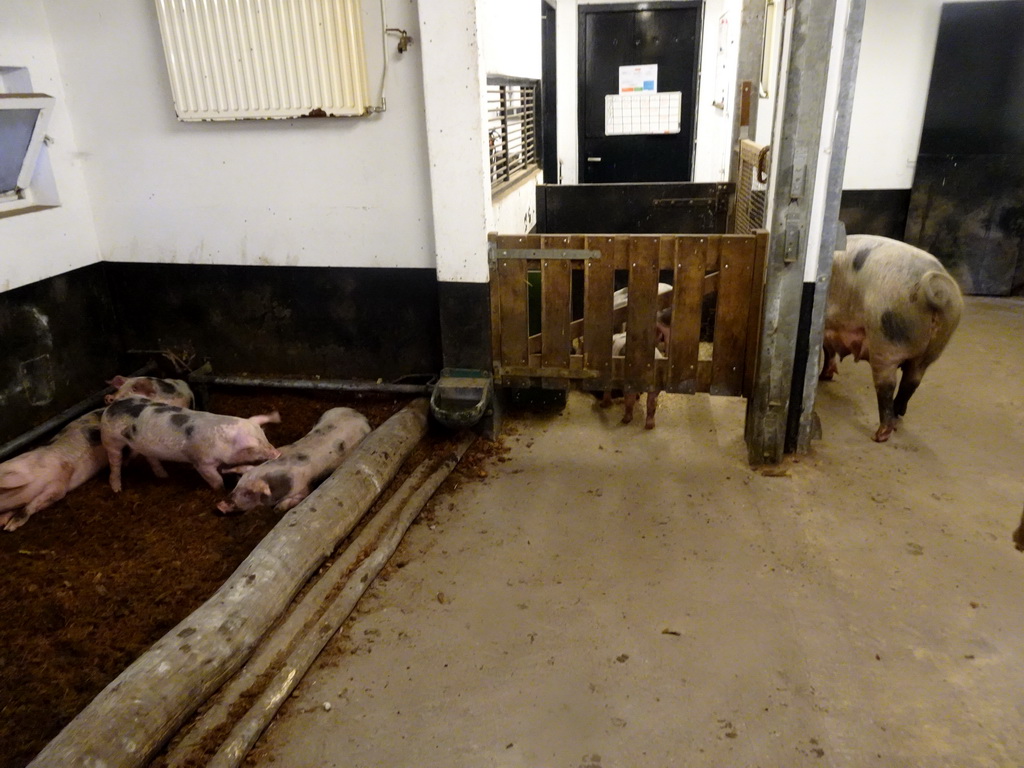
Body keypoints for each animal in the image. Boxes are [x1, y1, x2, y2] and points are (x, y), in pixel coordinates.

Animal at [102, 397, 282, 493]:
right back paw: (117, 489)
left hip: (143, 445)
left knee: (150, 457)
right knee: (115, 463)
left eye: (265, 437)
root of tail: (111, 406)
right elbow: (215, 479)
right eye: (253, 447)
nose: (277, 453)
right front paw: (220, 490)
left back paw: (163, 476)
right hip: (111, 440)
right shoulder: (201, 462)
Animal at [216, 409, 372, 518]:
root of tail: (359, 414)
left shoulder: (304, 488)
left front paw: (277, 509)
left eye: (248, 493)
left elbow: (298, 498)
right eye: (237, 484)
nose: (220, 505)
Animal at [823, 234, 958, 442]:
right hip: (933, 350)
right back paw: (897, 415)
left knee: (887, 385)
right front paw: (825, 377)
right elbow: (827, 350)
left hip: (885, 338)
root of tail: (937, 288)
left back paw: (880, 435)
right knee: (912, 381)